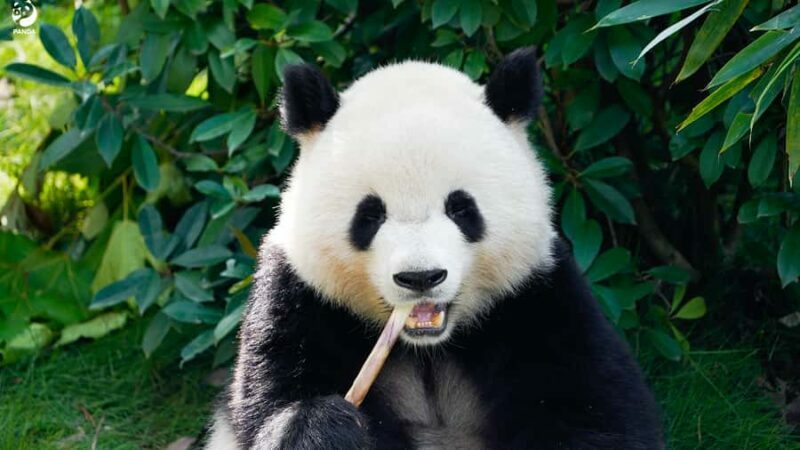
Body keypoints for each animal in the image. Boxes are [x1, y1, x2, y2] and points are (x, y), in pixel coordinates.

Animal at [206, 47, 662, 449]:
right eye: (369, 215)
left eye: (461, 208)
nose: (421, 277)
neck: (428, 347)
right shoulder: (301, 299)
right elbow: (272, 395)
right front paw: (326, 429)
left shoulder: (539, 297)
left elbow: (597, 413)